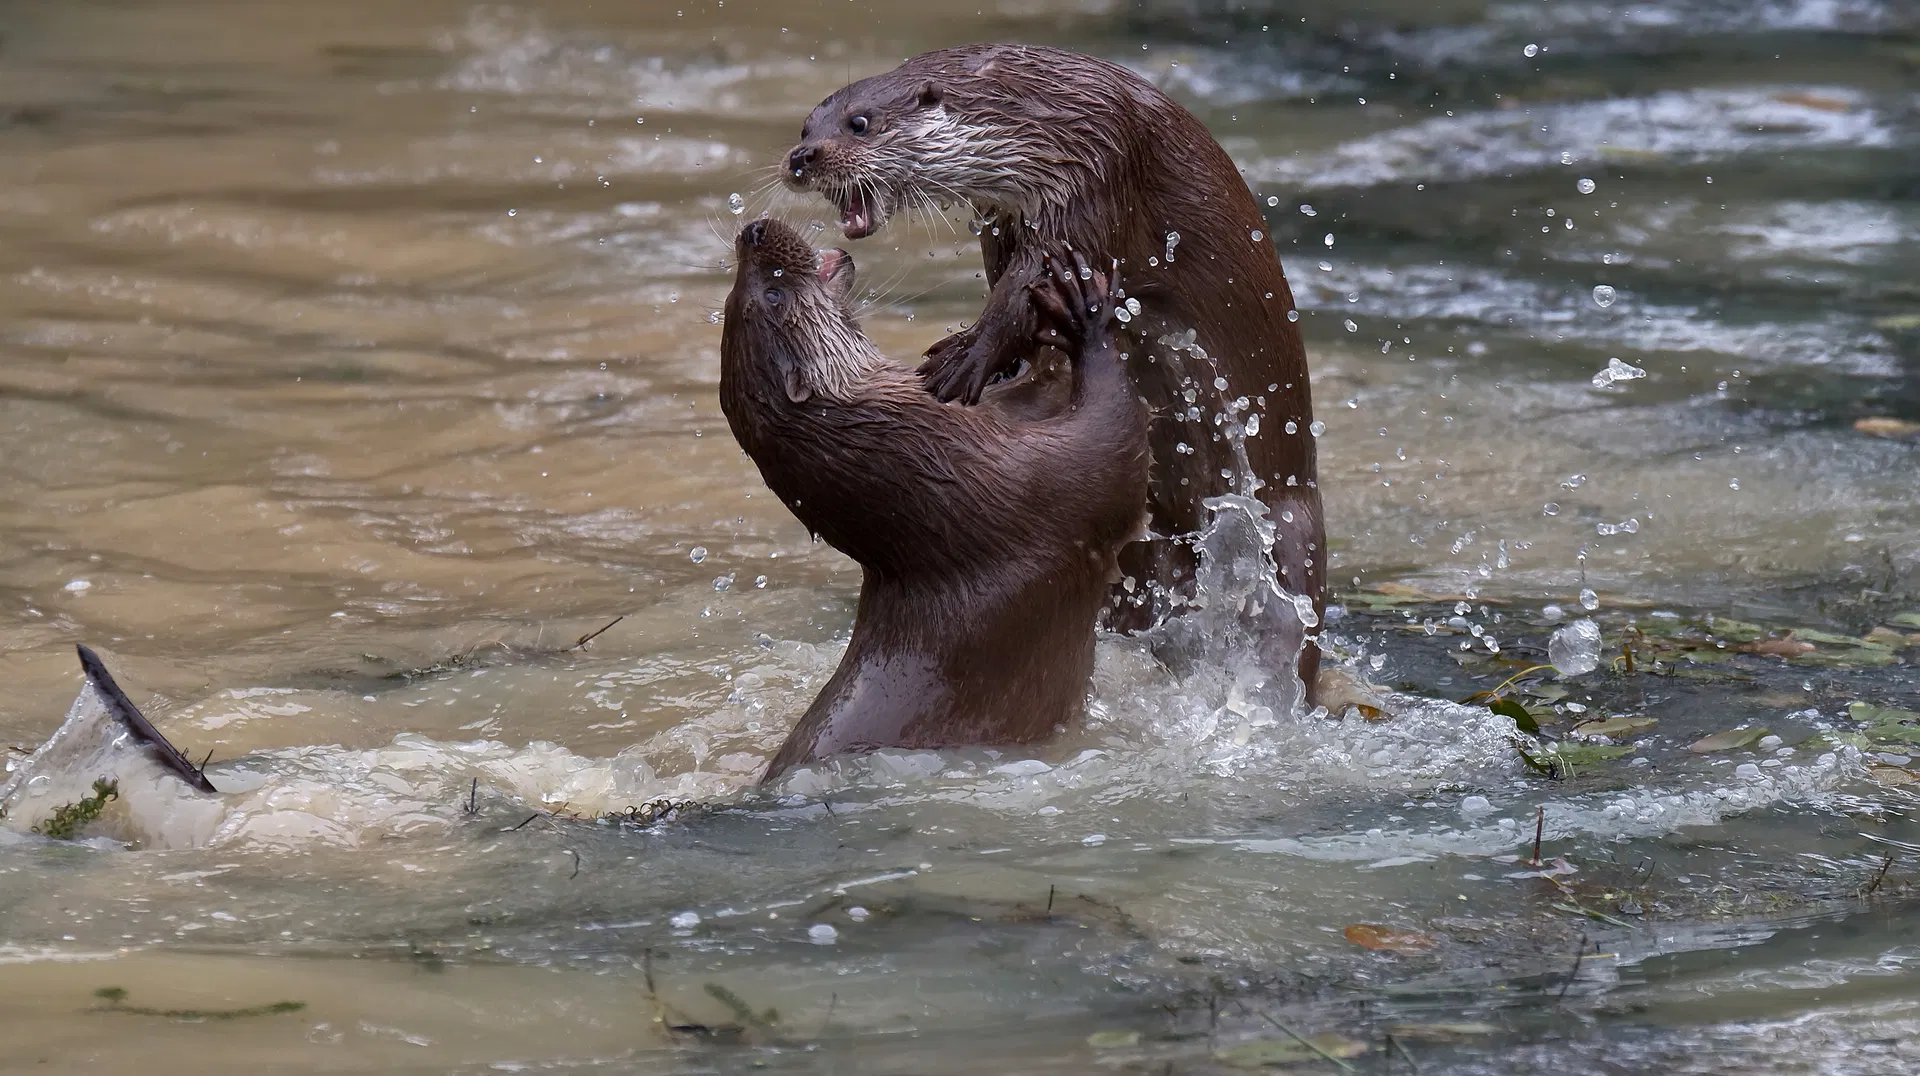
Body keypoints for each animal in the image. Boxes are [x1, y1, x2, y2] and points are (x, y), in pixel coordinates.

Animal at [718, 219, 1136, 787]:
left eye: (731, 296)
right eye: (774, 295)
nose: (754, 230)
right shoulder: (1043, 485)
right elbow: (1115, 444)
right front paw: (1083, 311)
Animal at [779, 46, 1320, 691]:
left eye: (859, 123)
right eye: (806, 127)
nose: (801, 159)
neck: (1046, 118)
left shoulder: (1093, 178)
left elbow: (1026, 289)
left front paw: (966, 359)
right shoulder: (1005, 217)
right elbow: (1012, 287)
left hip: (1289, 530)